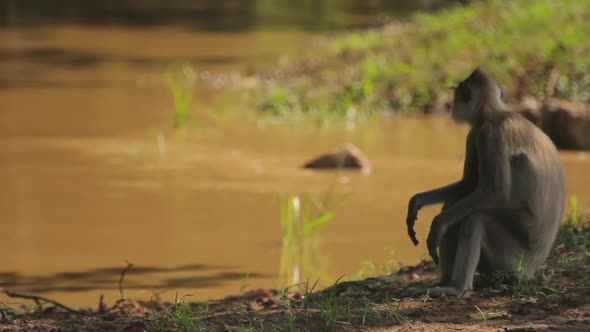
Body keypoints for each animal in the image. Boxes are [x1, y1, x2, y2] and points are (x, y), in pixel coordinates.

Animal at [404, 66, 568, 296]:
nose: (452, 103)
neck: (495, 112)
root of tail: (533, 268)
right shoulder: (475, 134)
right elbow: (468, 183)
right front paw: (417, 202)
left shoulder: (489, 134)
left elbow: (494, 192)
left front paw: (437, 224)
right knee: (456, 202)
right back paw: (444, 282)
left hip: (512, 259)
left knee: (476, 218)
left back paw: (457, 288)